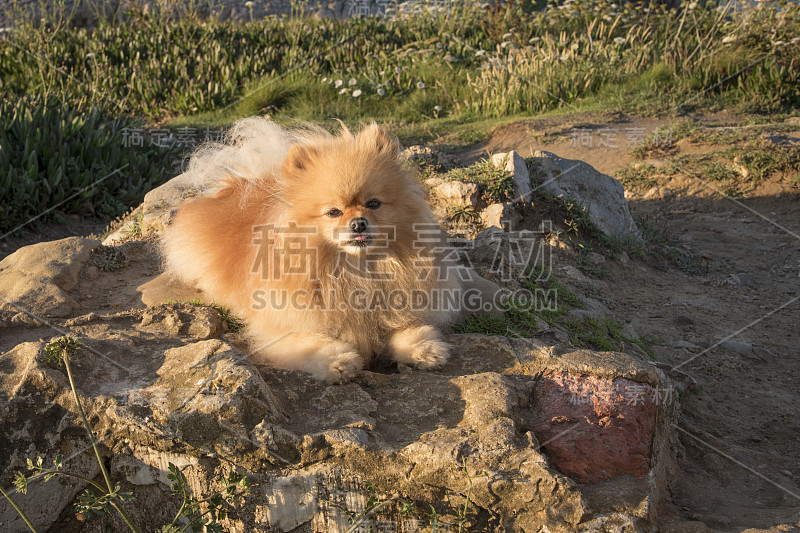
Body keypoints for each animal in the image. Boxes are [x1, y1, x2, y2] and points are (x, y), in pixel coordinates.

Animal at [161, 118, 462, 380]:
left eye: (374, 204)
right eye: (333, 212)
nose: (358, 223)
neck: (355, 271)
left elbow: (404, 328)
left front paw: (423, 348)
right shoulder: (281, 325)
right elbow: (311, 342)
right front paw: (339, 361)